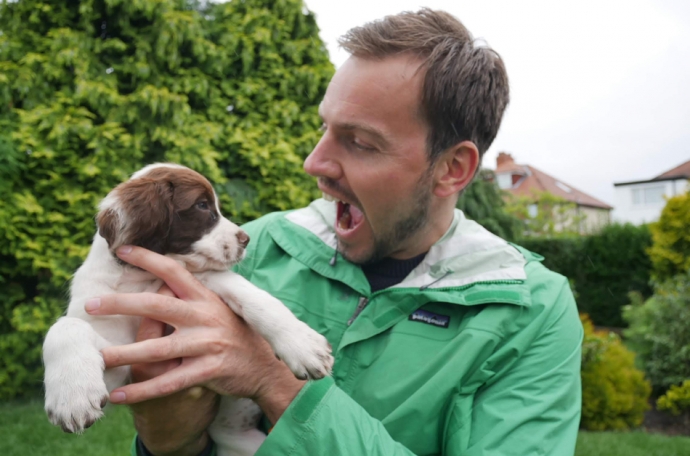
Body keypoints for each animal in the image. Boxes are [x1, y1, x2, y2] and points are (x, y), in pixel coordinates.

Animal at [43, 162, 334, 454]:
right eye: (202, 205)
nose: (245, 240)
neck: (144, 279)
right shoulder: (123, 361)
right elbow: (66, 326)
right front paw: (72, 398)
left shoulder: (205, 281)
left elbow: (256, 297)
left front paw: (305, 346)